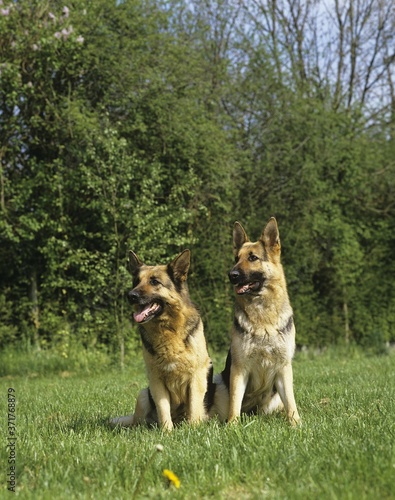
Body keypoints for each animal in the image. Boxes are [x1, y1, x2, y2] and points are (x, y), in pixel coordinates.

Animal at [110, 250, 215, 430]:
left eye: (154, 282)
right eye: (136, 282)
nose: (131, 296)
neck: (168, 329)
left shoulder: (196, 377)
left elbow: (194, 407)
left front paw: (193, 429)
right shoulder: (156, 380)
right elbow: (163, 409)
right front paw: (167, 432)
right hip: (143, 395)